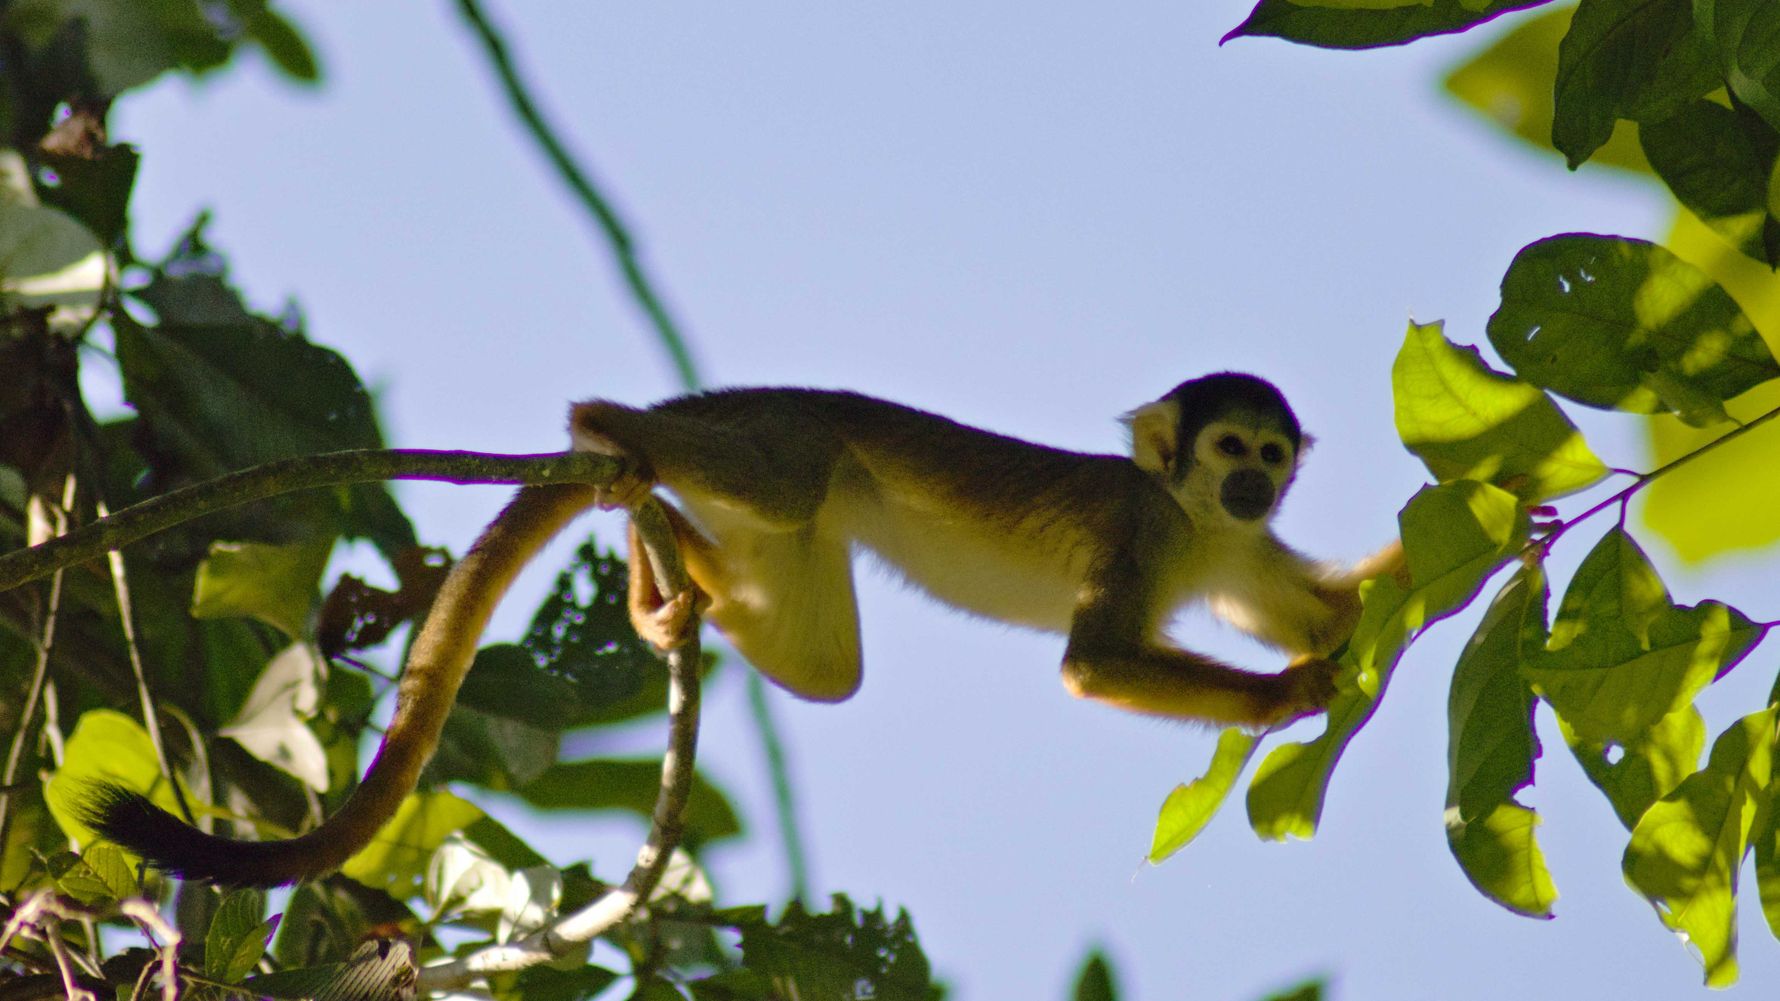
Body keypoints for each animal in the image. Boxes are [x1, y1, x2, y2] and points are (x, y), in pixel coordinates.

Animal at [85, 373, 1401, 886]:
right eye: (1227, 447)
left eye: (1269, 455)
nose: (1254, 480)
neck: (1193, 520)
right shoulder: (1144, 526)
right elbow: (1090, 661)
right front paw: (1291, 691)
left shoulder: (1235, 553)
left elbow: (1336, 596)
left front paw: (1435, 571)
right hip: (785, 438)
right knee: (778, 472)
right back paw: (608, 429)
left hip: (794, 533)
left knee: (822, 664)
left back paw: (671, 570)